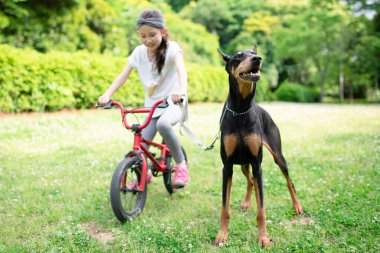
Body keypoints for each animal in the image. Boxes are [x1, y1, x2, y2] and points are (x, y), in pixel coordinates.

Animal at [215, 46, 304, 248]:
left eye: (253, 53)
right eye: (238, 56)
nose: (257, 59)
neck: (241, 110)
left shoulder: (257, 164)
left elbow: (261, 209)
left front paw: (263, 237)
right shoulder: (227, 166)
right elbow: (225, 207)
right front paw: (222, 234)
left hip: (277, 156)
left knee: (289, 181)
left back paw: (297, 206)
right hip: (242, 164)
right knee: (249, 181)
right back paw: (246, 203)